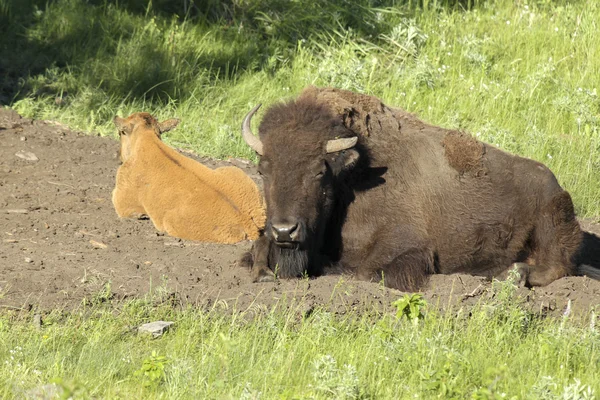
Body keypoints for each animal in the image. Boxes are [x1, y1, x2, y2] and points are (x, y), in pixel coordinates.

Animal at [112, 112, 264, 244]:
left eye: (121, 133)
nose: (117, 156)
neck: (146, 138)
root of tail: (245, 220)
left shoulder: (120, 201)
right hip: (232, 170)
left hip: (170, 222)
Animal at [239, 86, 584, 290]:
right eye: (263, 169)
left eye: (319, 171)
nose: (285, 231)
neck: (351, 177)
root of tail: (557, 186)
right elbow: (254, 249)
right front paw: (260, 268)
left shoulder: (407, 250)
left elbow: (365, 273)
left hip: (550, 227)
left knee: (554, 267)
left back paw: (510, 275)